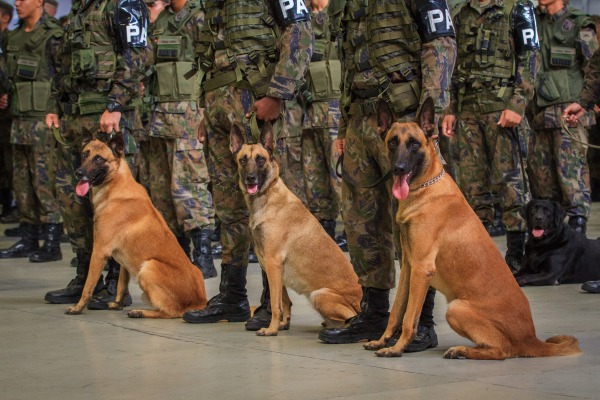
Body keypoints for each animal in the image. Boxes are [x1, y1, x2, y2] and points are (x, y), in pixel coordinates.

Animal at [64, 134, 207, 318]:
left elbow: (88, 286)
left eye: (99, 159)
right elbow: (121, 284)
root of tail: (199, 301)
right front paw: (117, 303)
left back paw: (140, 312)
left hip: (148, 267)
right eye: (85, 155)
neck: (115, 185)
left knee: (171, 312)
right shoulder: (123, 260)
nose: (79, 172)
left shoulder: (99, 251)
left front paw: (77, 307)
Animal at [230, 121, 360, 334]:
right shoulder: (271, 266)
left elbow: (275, 305)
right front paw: (283, 324)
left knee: (349, 318)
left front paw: (271, 329)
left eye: (260, 159)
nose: (250, 178)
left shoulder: (273, 263)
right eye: (243, 160)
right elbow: (284, 301)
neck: (267, 195)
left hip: (319, 295)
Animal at [360, 99, 580, 360]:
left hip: (456, 308)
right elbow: (396, 311)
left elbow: (409, 318)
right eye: (393, 142)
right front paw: (382, 340)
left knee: (502, 351)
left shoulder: (422, 269)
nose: (399, 169)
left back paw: (462, 350)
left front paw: (397, 348)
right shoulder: (408, 267)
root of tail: (531, 339)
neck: (424, 188)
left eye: (414, 144)